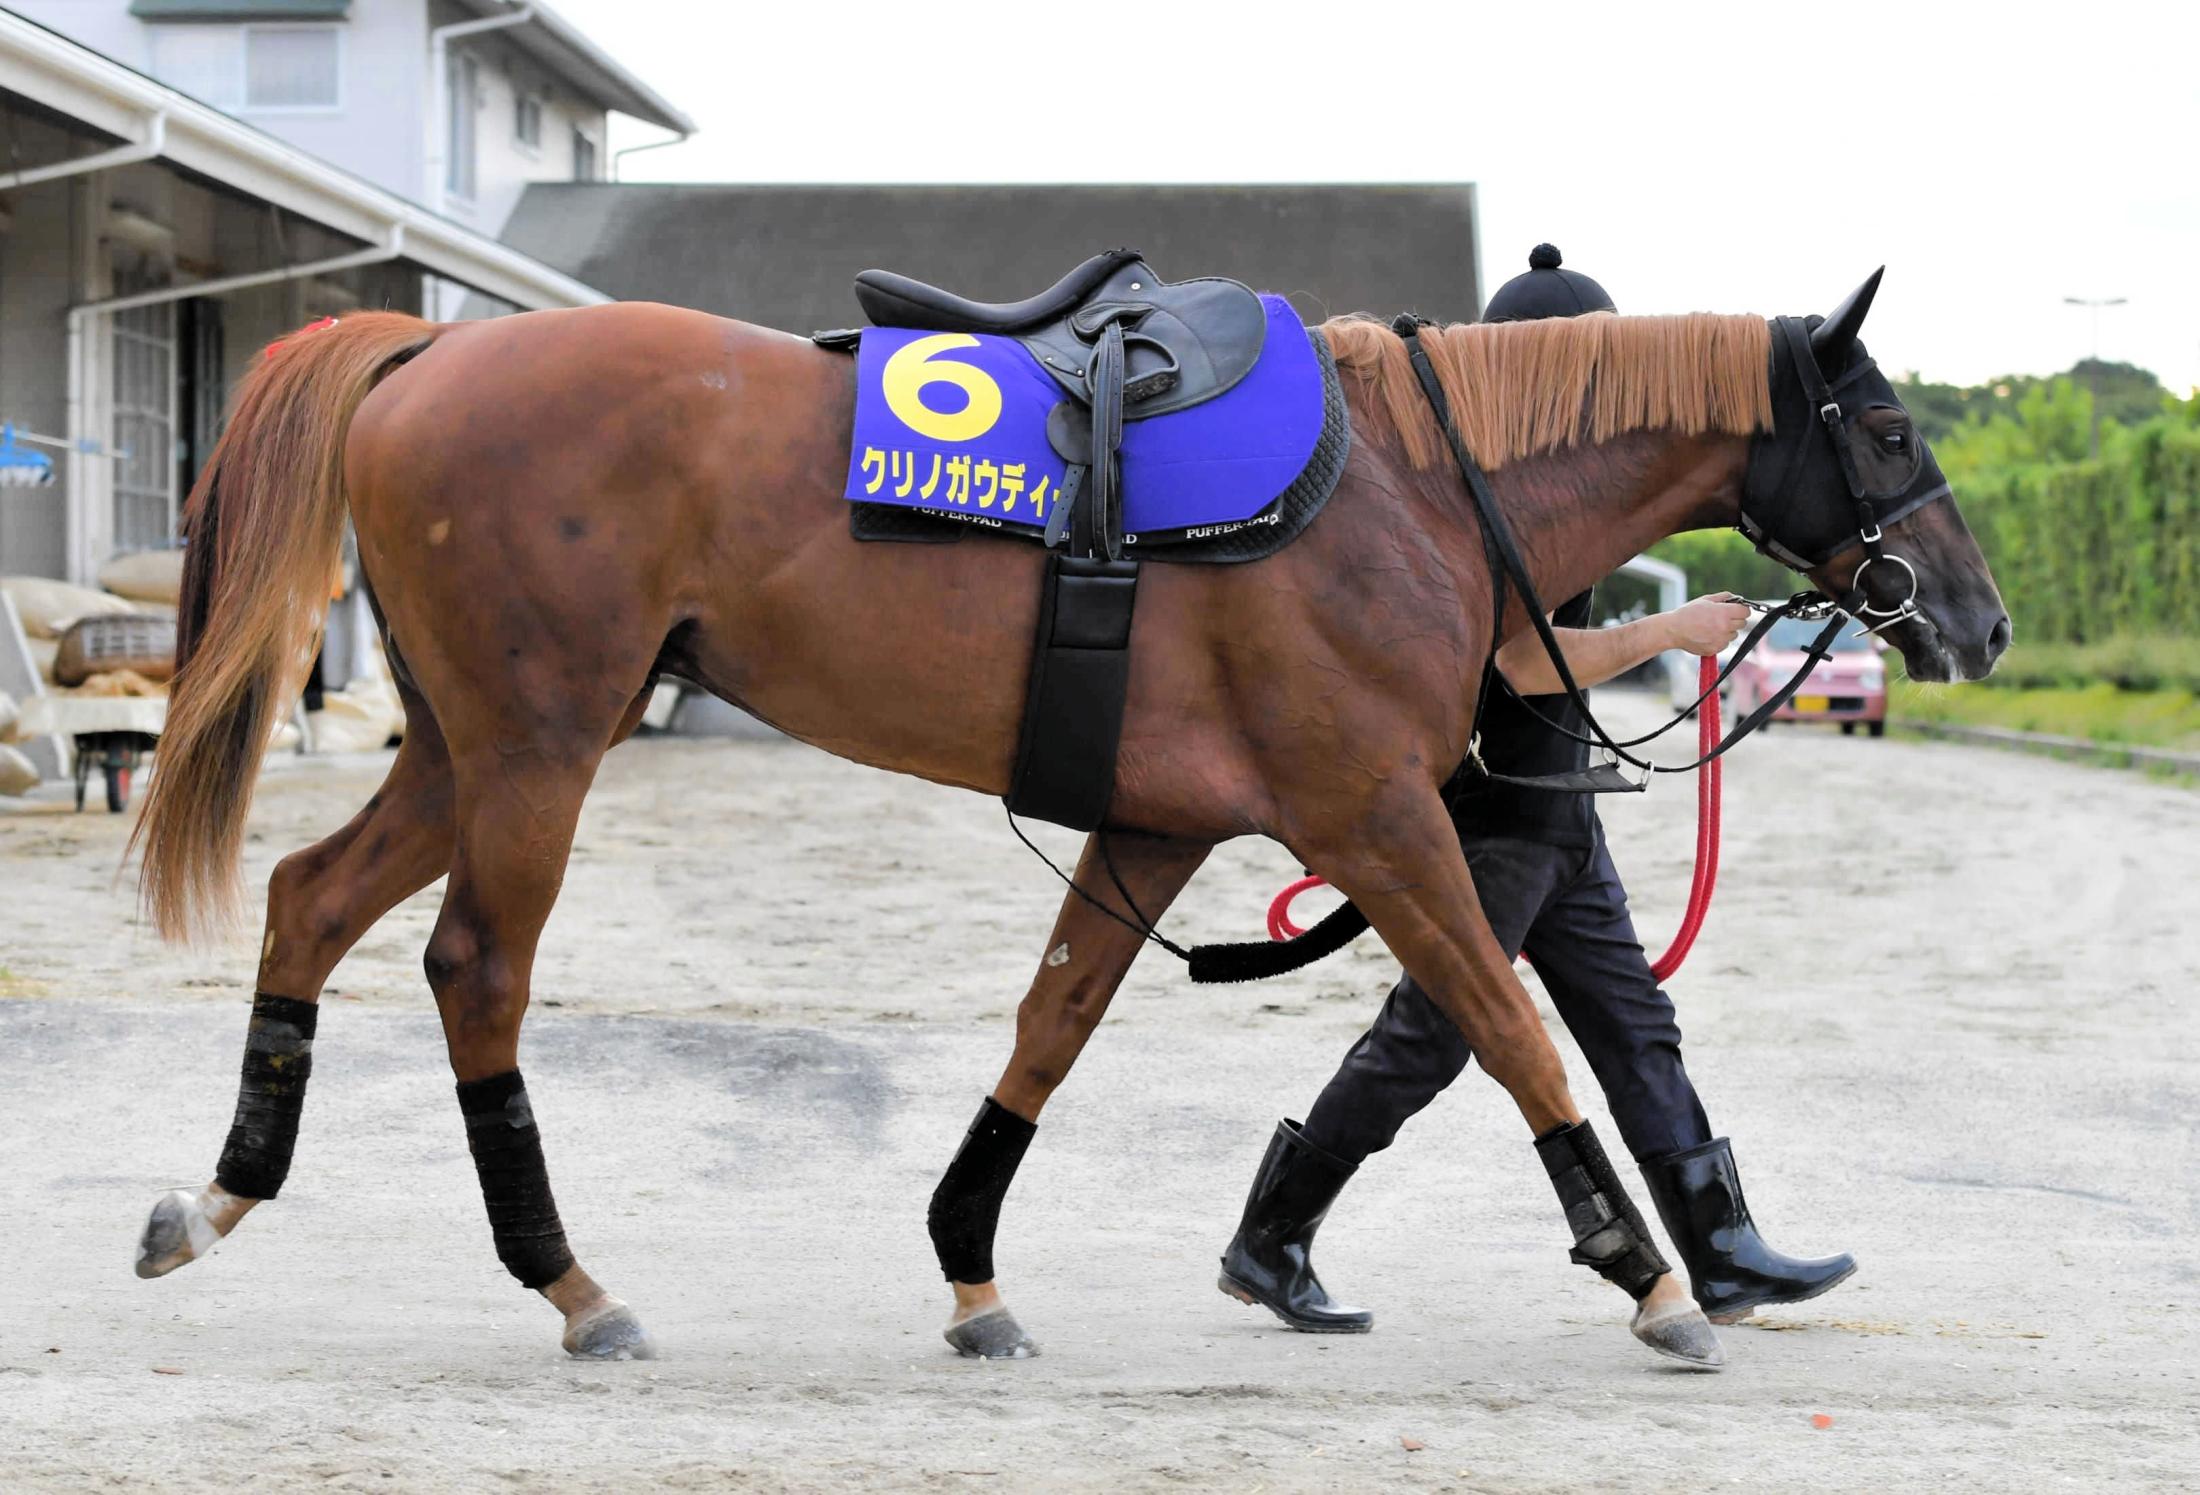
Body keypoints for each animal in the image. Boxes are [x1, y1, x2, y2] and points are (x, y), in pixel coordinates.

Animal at [128, 268, 2006, 1363]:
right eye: (1884, 424)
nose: (1978, 619)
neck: (1405, 486)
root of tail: (435, 344)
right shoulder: (1380, 817)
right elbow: (1510, 1020)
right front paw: (1648, 1269)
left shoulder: (1155, 826)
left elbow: (1053, 1027)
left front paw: (972, 1265)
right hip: (539, 743)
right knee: (476, 970)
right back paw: (569, 1282)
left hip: (464, 744)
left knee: (309, 898)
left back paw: (216, 1195)